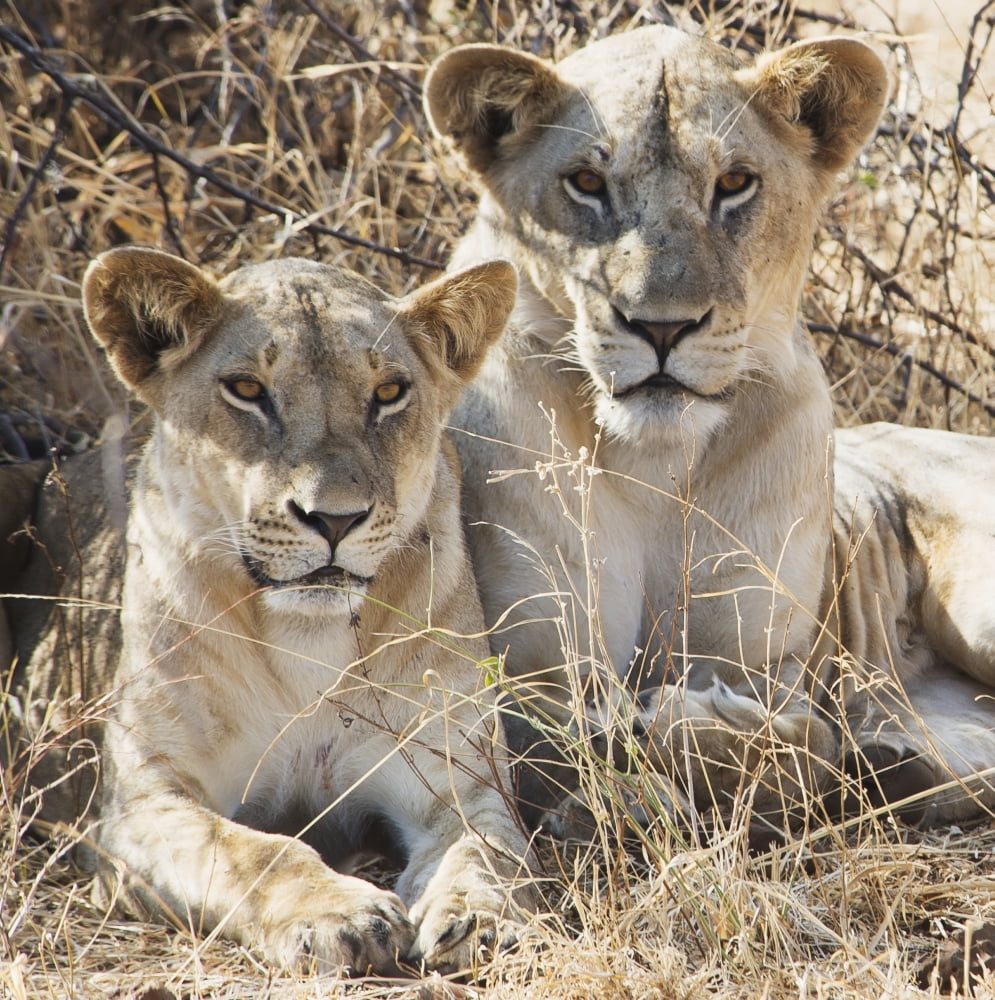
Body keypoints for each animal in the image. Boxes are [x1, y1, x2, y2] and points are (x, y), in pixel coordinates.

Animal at [2, 247, 535, 975]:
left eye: (389, 393)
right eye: (248, 390)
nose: (335, 519)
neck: (305, 638)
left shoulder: (459, 782)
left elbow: (488, 851)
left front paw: (480, 919)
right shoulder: (142, 805)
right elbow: (258, 851)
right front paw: (343, 915)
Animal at [423, 25, 995, 831]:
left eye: (734, 184)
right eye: (586, 183)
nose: (662, 327)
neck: (657, 465)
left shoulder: (764, 667)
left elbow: (803, 748)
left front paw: (669, 727)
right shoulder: (528, 657)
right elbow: (545, 735)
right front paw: (624, 772)